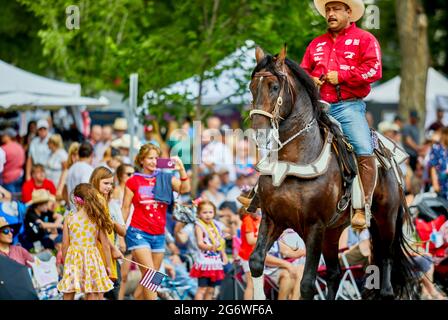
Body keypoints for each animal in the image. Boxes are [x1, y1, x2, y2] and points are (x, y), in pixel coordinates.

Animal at [248, 47, 416, 300]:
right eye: (251, 87)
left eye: (274, 86)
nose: (258, 132)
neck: (295, 159)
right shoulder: (272, 218)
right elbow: (257, 262)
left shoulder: (314, 227)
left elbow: (307, 284)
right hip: (333, 232)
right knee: (335, 274)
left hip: (385, 220)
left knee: (385, 264)